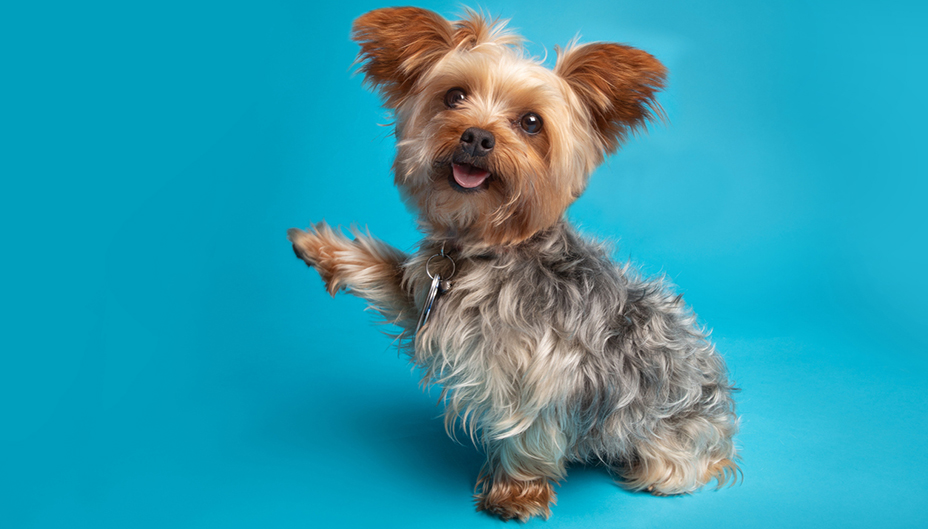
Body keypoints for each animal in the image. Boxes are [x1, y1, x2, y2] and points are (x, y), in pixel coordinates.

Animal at [290, 7, 740, 520]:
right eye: (455, 96)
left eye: (530, 122)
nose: (477, 135)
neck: (486, 248)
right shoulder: (425, 294)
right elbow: (381, 265)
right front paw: (318, 246)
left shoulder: (549, 367)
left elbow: (529, 429)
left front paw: (515, 490)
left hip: (676, 439)